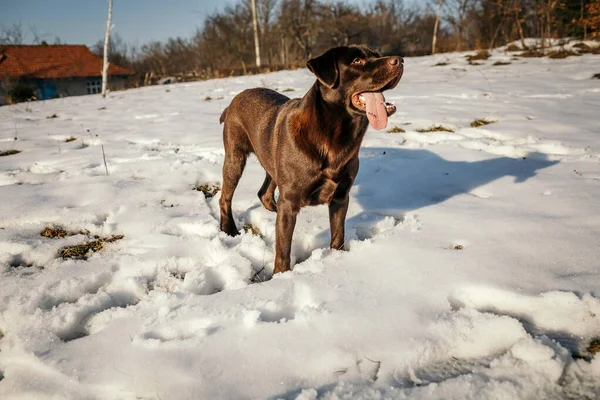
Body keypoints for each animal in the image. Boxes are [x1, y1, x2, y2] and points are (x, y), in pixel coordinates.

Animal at [218, 45, 400, 274]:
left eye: (377, 55)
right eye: (357, 61)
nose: (400, 60)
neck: (334, 137)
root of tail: (233, 100)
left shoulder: (341, 196)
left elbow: (338, 234)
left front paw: (337, 258)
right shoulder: (291, 198)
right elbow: (283, 250)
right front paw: (281, 276)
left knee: (264, 192)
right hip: (235, 158)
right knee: (225, 197)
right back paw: (229, 229)